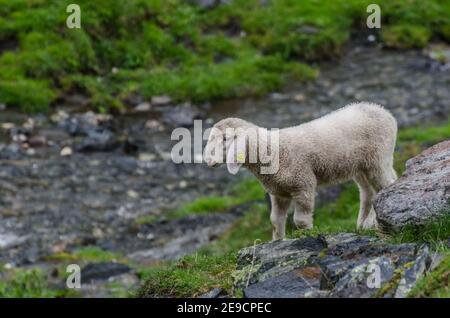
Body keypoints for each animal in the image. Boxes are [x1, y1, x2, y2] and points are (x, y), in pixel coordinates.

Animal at [204, 103, 398, 240]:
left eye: (225, 138)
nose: (208, 161)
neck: (273, 150)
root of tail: (383, 111)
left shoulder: (303, 184)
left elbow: (300, 220)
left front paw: (309, 235)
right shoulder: (279, 192)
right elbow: (275, 221)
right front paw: (277, 241)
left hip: (378, 158)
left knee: (385, 187)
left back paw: (372, 222)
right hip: (361, 166)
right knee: (369, 192)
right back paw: (362, 224)